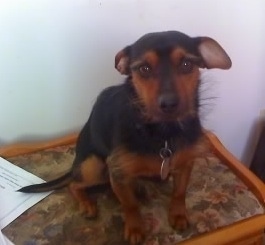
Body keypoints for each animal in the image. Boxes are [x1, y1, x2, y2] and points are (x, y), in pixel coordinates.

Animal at [18, 31, 230, 245]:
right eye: (144, 68)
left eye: (187, 64)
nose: (169, 104)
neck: (163, 133)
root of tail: (74, 167)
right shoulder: (117, 172)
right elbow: (130, 205)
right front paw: (135, 228)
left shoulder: (186, 163)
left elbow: (179, 192)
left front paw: (178, 215)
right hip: (94, 165)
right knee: (73, 184)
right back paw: (87, 203)